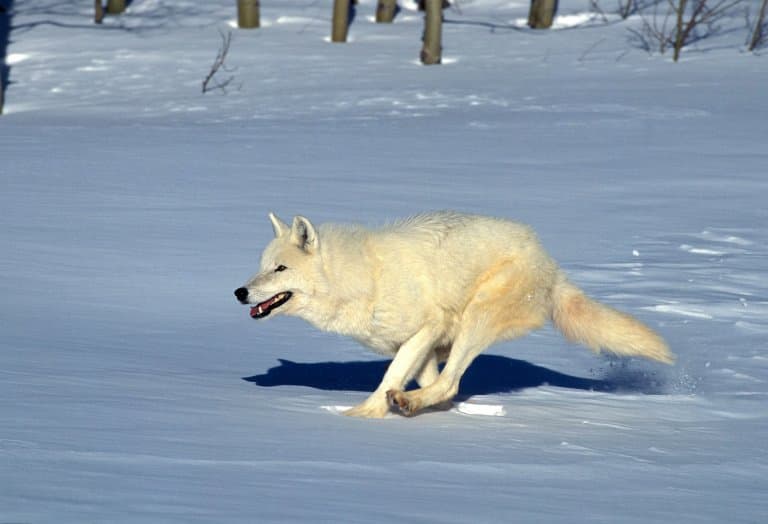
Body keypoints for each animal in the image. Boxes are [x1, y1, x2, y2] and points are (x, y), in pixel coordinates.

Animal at [234, 211, 672, 420]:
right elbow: (418, 379)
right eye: (261, 267)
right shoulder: (421, 345)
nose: (240, 292)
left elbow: (390, 377)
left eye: (280, 270)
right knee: (447, 387)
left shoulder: (426, 329)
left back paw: (407, 403)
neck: (362, 275)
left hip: (476, 320)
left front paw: (361, 416)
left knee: (450, 382)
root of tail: (551, 265)